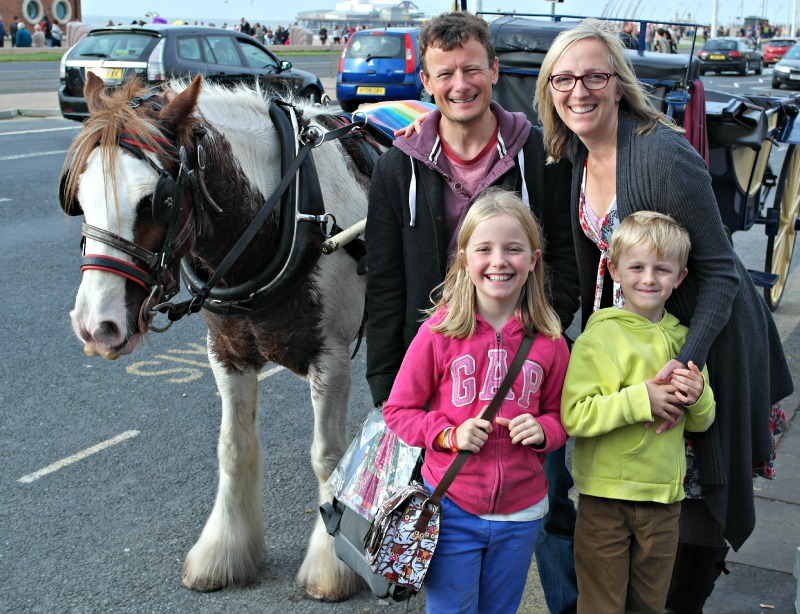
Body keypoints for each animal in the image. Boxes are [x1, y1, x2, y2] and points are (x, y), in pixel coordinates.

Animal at [57, 73, 382, 608]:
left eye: (156, 201)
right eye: (78, 198)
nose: (95, 324)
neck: (287, 210)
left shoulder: (331, 357)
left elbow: (326, 456)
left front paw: (330, 564)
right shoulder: (226, 354)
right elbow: (233, 448)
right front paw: (224, 552)